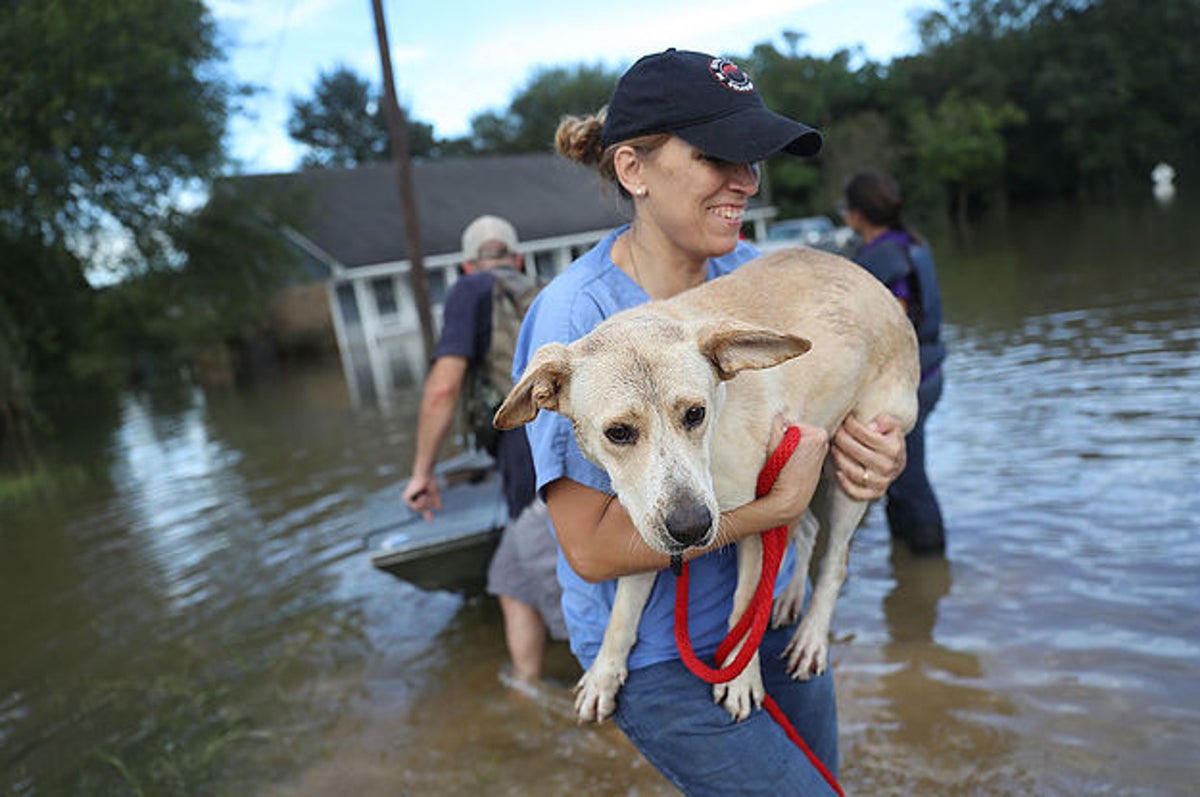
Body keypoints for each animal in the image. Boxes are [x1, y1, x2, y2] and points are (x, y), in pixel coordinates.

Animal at [492, 247, 912, 720]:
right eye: (618, 432)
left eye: (695, 413)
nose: (691, 526)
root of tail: (867, 277)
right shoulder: (647, 525)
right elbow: (622, 613)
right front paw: (604, 672)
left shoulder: (754, 522)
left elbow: (744, 607)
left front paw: (740, 679)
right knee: (806, 529)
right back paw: (787, 598)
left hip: (856, 469)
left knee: (835, 559)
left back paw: (811, 637)